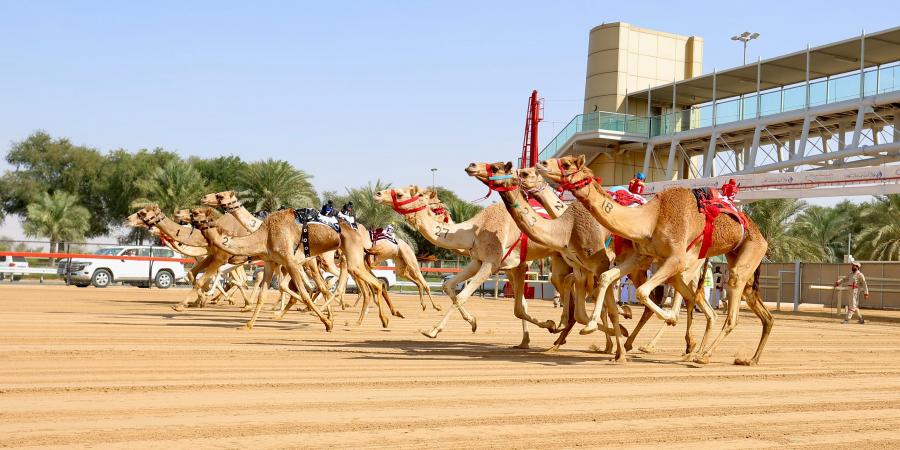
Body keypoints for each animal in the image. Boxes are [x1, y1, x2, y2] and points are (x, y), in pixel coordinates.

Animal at [536, 155, 768, 366]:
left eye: (567, 163)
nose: (541, 163)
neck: (651, 218)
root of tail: (762, 236)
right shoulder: (641, 256)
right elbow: (606, 277)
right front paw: (589, 326)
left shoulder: (674, 258)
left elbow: (641, 293)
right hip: (724, 259)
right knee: (709, 305)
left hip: (741, 254)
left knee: (726, 307)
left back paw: (699, 354)